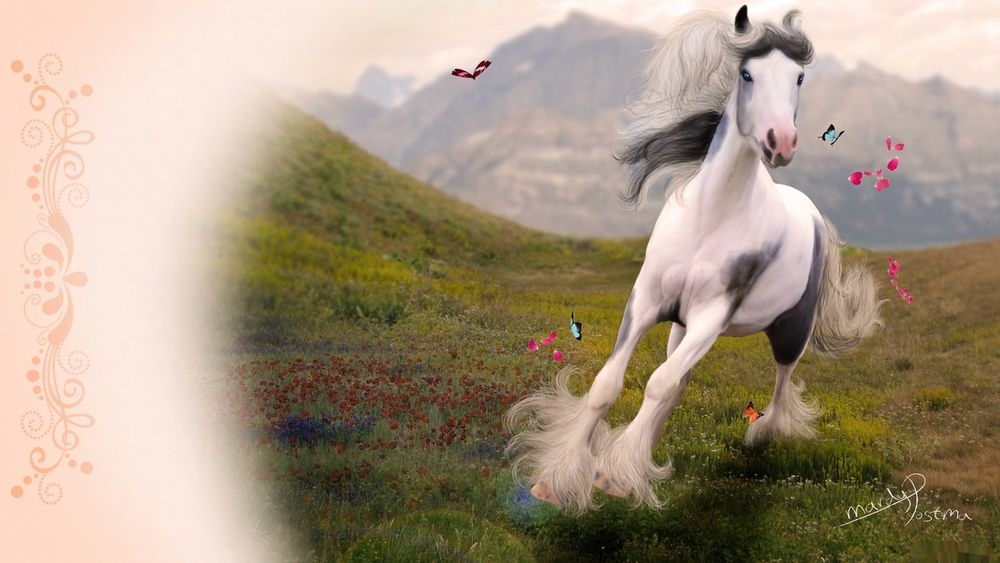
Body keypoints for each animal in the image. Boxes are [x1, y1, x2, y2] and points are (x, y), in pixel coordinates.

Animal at [504, 5, 884, 513]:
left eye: (800, 77)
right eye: (747, 74)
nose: (781, 142)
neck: (712, 218)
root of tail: (811, 211)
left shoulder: (711, 317)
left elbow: (658, 383)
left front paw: (615, 478)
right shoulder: (647, 301)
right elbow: (610, 385)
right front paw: (557, 480)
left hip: (790, 329)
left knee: (781, 384)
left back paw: (760, 438)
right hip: (680, 328)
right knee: (681, 381)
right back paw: (643, 451)